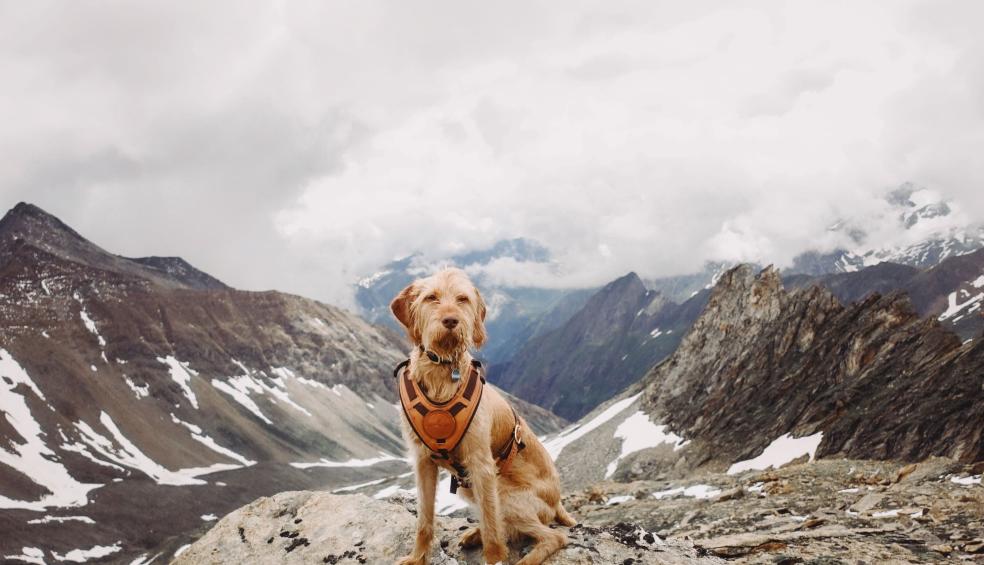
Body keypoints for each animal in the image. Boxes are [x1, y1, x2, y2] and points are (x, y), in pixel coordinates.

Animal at [390, 268, 576, 564]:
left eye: (462, 299)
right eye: (431, 298)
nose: (451, 320)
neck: (442, 373)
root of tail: (557, 502)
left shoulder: (481, 466)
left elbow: (492, 527)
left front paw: (495, 556)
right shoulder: (423, 463)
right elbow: (424, 519)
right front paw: (417, 557)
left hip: (504, 494)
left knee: (551, 536)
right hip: (469, 485)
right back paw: (473, 535)